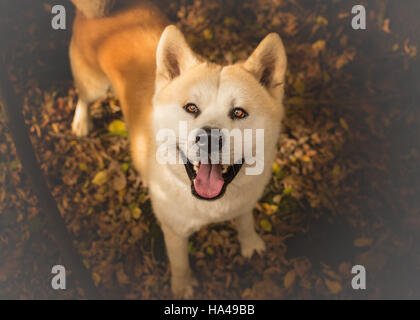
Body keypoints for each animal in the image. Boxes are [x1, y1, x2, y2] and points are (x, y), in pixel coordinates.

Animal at [71, 0, 286, 298]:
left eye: (239, 112)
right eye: (191, 108)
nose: (209, 138)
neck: (212, 205)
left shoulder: (245, 204)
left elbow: (245, 221)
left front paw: (250, 244)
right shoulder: (174, 232)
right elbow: (180, 263)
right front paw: (183, 287)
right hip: (96, 88)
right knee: (82, 96)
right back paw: (81, 122)